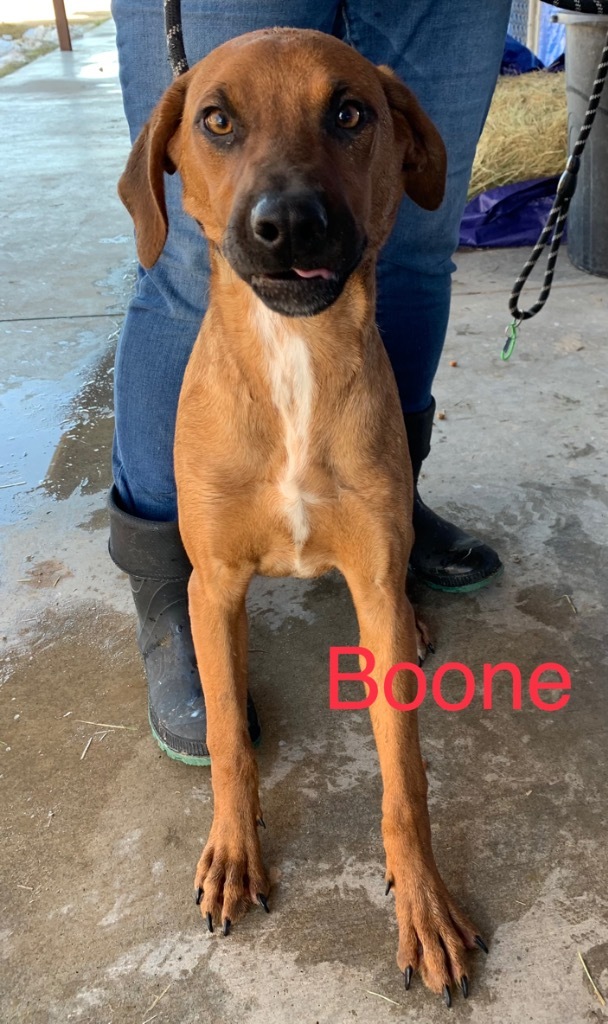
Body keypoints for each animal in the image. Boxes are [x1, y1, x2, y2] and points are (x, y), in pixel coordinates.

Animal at [118, 29, 485, 999]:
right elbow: (229, 745)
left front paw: (423, 904)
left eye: (350, 112)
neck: (294, 360)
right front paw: (233, 852)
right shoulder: (214, 584)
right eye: (216, 120)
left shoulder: (371, 573)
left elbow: (406, 778)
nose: (287, 225)